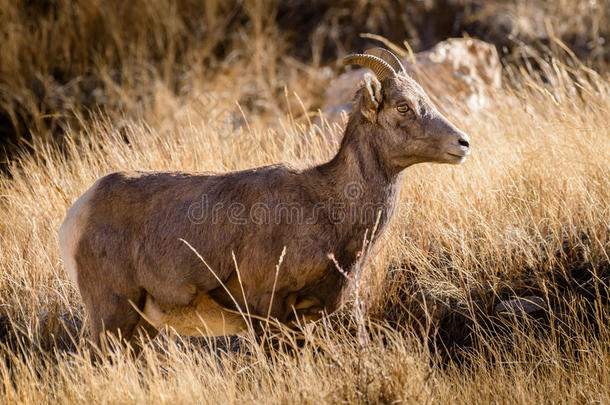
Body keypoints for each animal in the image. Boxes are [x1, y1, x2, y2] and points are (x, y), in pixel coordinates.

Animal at [58, 47, 470, 344]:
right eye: (403, 107)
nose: (462, 143)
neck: (327, 206)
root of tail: (77, 215)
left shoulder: (301, 319)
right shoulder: (266, 309)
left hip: (138, 328)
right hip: (112, 316)